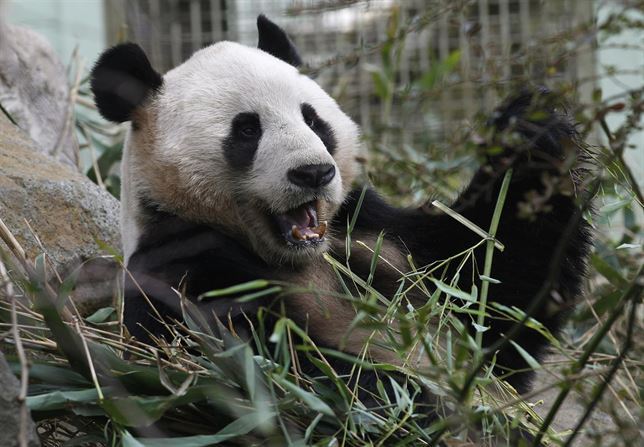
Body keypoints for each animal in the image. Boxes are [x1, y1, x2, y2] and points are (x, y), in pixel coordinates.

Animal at [91, 14, 591, 429]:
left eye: (313, 120)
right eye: (247, 130)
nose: (313, 172)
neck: (292, 254)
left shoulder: (372, 229)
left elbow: (490, 297)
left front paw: (531, 129)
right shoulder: (180, 267)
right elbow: (276, 375)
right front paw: (424, 402)